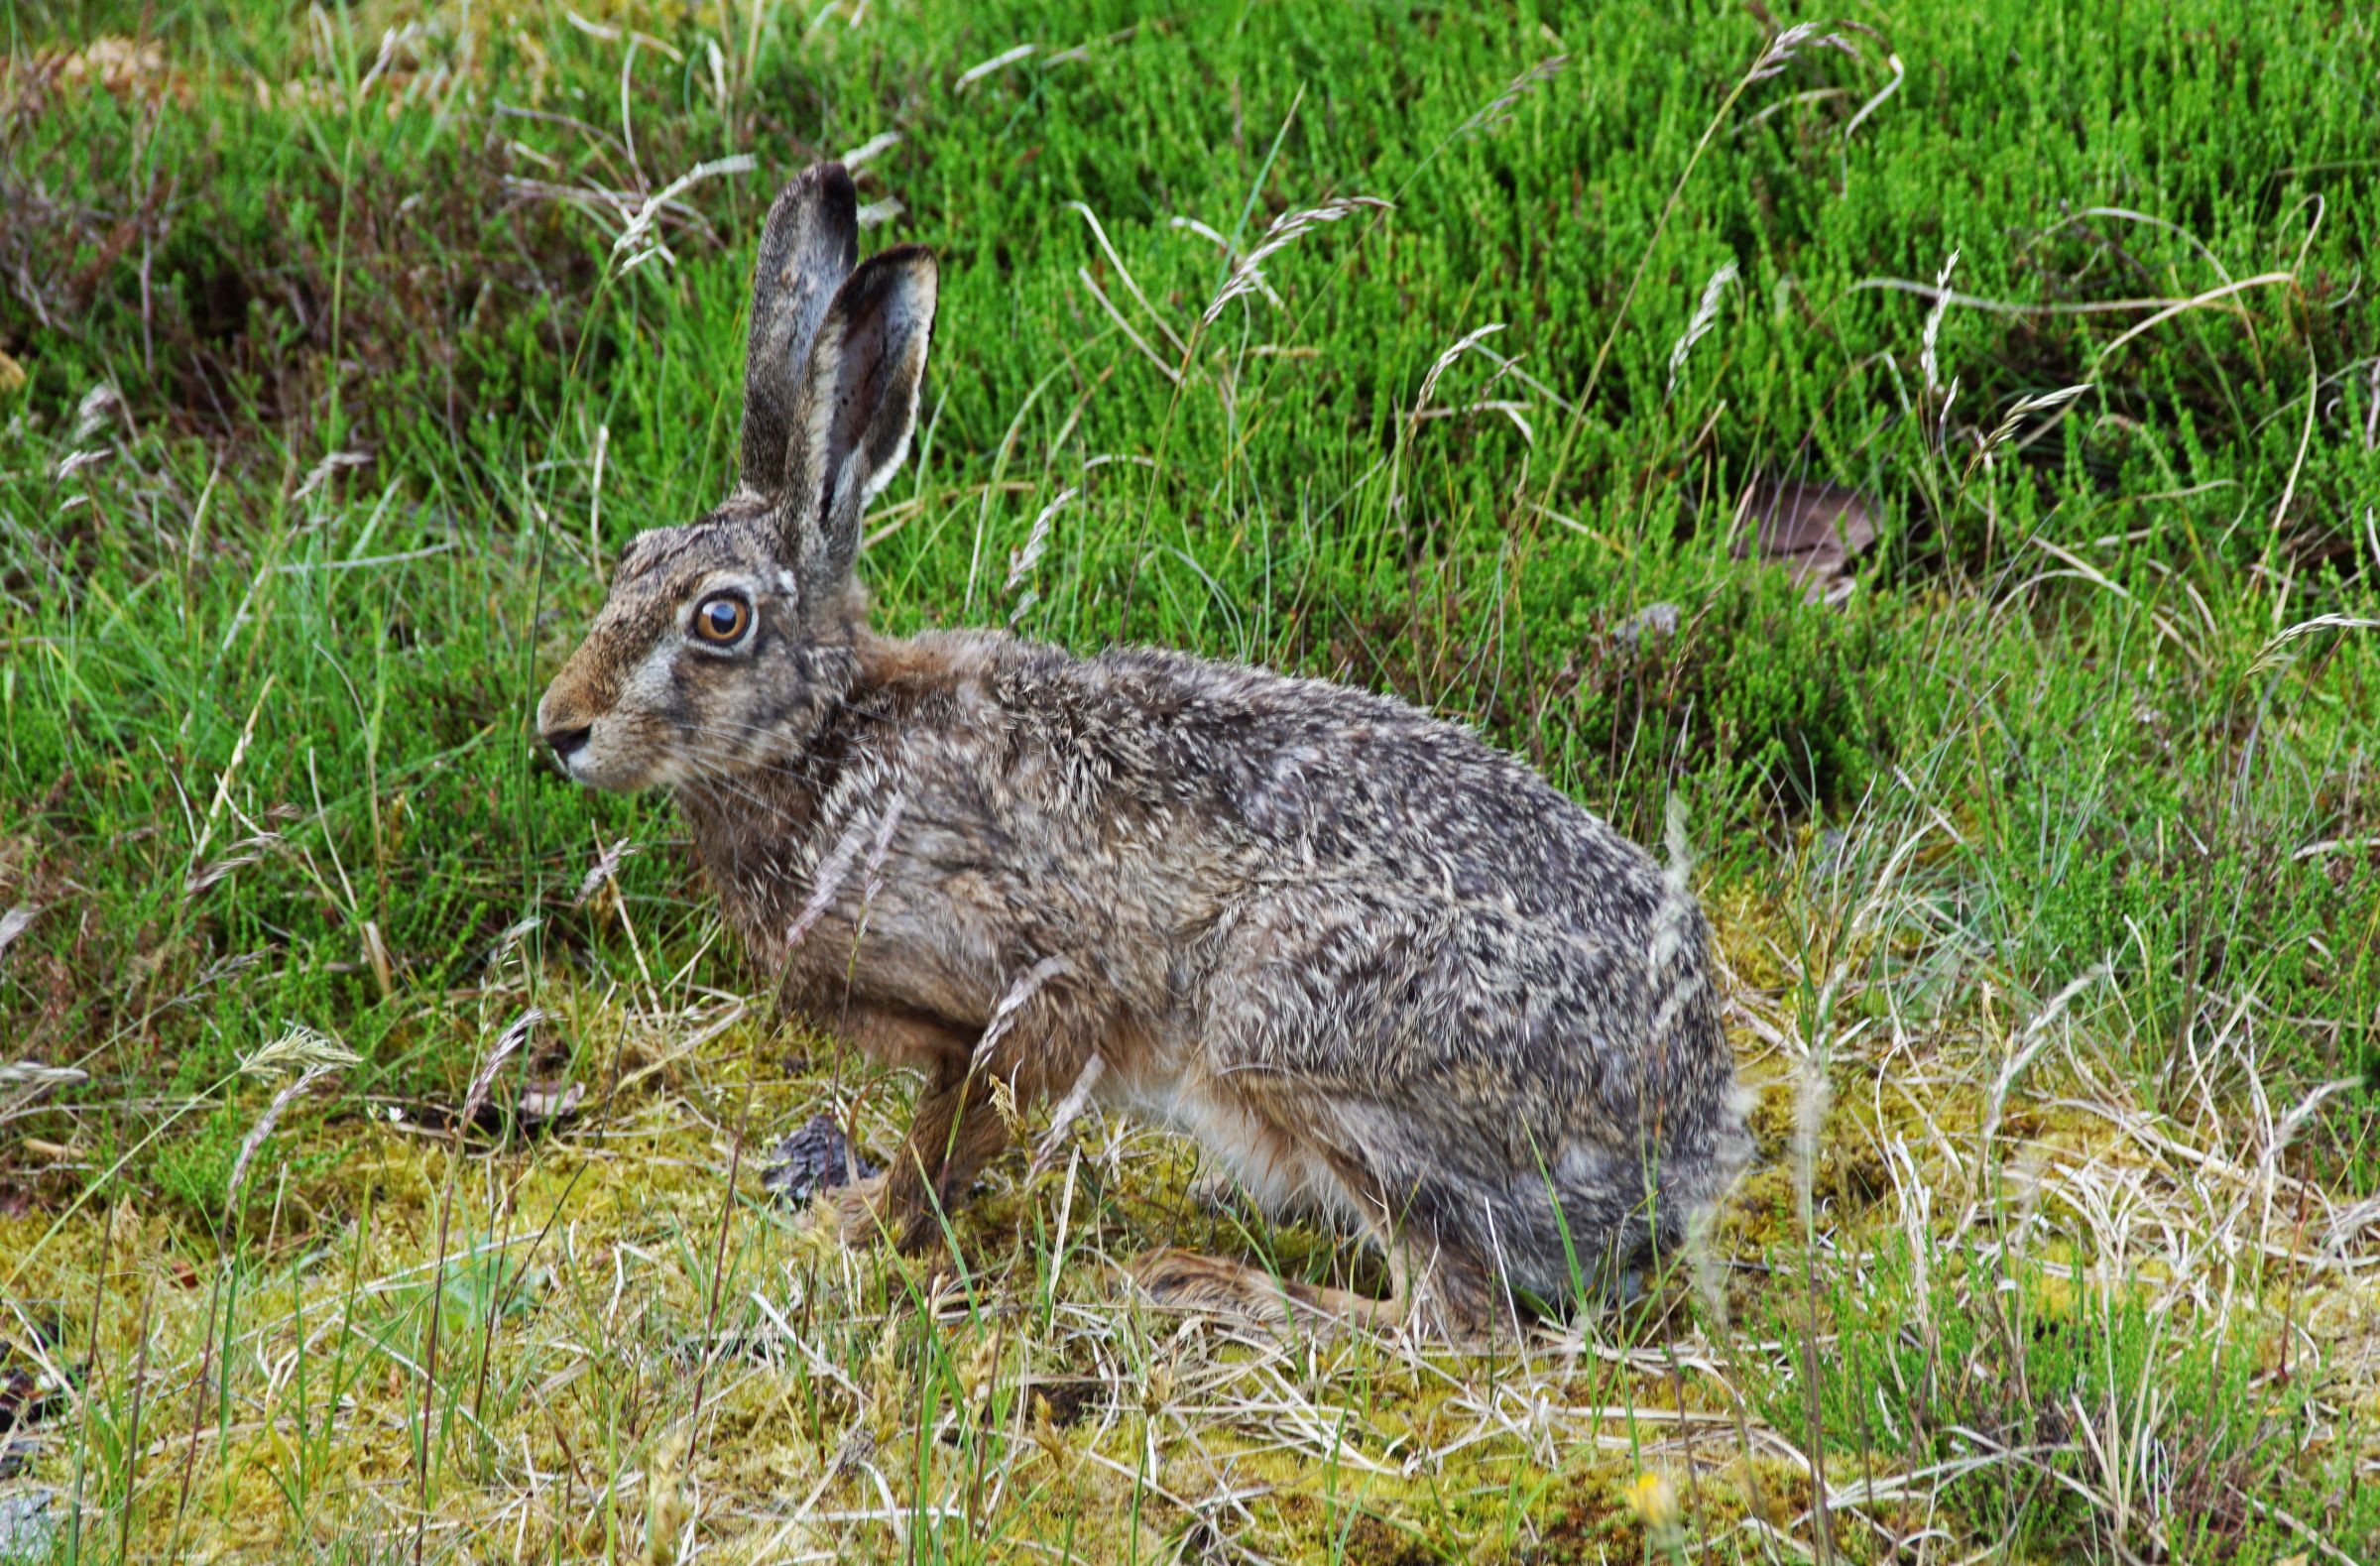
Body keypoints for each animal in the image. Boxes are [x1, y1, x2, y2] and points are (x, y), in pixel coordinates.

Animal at [537, 162, 1751, 1335]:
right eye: (630, 558)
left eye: (720, 619)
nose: (559, 730)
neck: (825, 735)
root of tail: (1685, 1149)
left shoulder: (1028, 993)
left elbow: (955, 1133)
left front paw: (859, 1229)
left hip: (1291, 1023)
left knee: (1452, 1315)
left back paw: (1204, 1285)